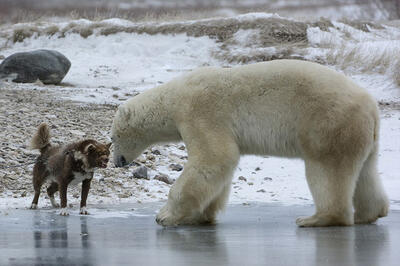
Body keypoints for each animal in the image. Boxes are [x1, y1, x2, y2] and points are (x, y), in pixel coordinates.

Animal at [111, 59, 390, 227]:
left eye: (113, 137)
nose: (116, 162)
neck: (174, 97)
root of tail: (371, 107)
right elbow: (219, 168)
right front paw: (200, 215)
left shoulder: (200, 112)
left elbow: (215, 158)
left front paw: (164, 215)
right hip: (361, 134)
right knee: (366, 172)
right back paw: (370, 214)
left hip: (327, 124)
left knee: (326, 170)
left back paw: (315, 218)